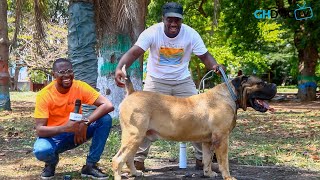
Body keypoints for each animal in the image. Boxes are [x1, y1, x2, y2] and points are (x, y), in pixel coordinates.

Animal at [113, 73, 278, 180]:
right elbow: (223, 161)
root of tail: (132, 93)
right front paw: (228, 177)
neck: (230, 95)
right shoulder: (222, 138)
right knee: (118, 159)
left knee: (128, 157)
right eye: (261, 83)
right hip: (134, 135)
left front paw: (208, 173)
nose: (275, 85)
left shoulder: (208, 141)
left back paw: (135, 173)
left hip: (138, 137)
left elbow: (207, 159)